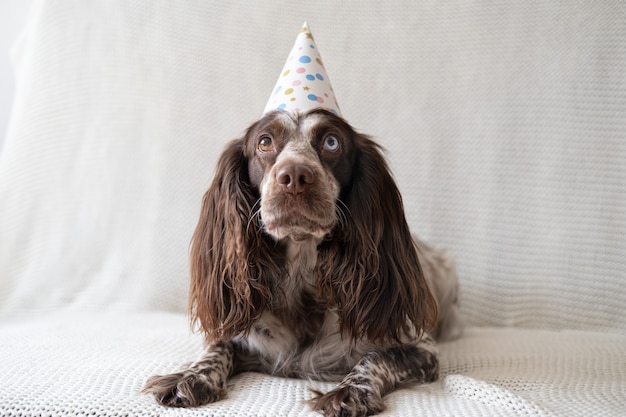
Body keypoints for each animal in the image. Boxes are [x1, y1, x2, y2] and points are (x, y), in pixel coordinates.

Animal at [144, 109, 460, 414]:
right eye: (265, 142)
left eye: (331, 142)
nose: (295, 175)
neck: (300, 271)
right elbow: (216, 348)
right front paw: (191, 376)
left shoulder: (422, 349)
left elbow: (374, 357)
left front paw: (351, 391)